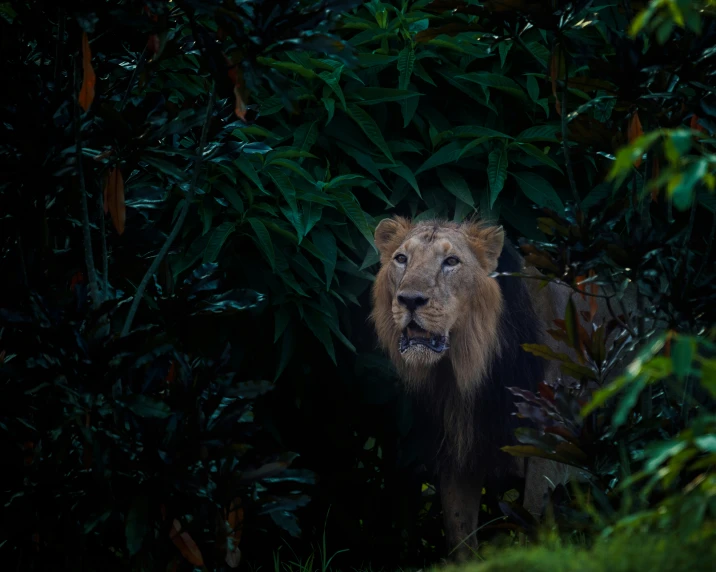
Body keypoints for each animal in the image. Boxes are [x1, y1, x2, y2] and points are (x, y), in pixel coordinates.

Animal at [370, 217, 588, 560]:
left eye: (451, 262)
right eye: (401, 259)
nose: (410, 300)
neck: (468, 371)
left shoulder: (549, 449)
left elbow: (535, 523)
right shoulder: (457, 451)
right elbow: (460, 535)